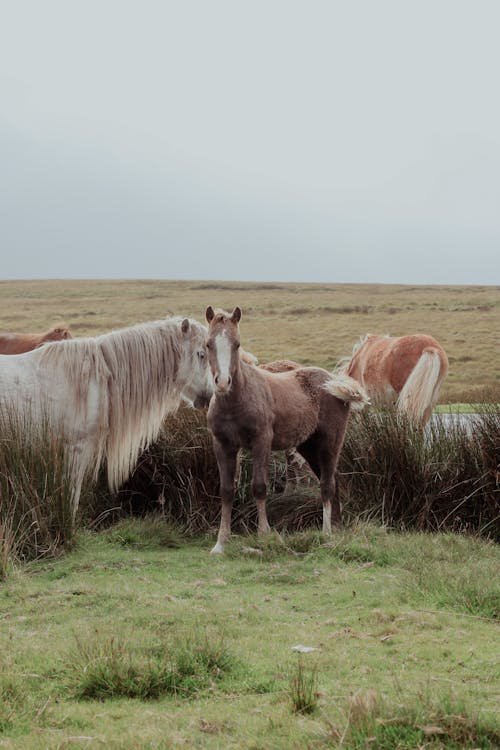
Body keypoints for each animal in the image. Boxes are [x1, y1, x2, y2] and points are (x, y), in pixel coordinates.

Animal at [203, 306, 368, 560]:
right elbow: (227, 490)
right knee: (333, 480)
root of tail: (335, 382)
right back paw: (338, 527)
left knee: (327, 484)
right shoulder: (223, 445)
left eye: (237, 344)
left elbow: (259, 487)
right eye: (209, 344)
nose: (222, 382)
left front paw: (264, 537)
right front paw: (220, 544)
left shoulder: (261, 442)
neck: (237, 400)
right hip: (308, 447)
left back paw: (327, 533)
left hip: (330, 443)